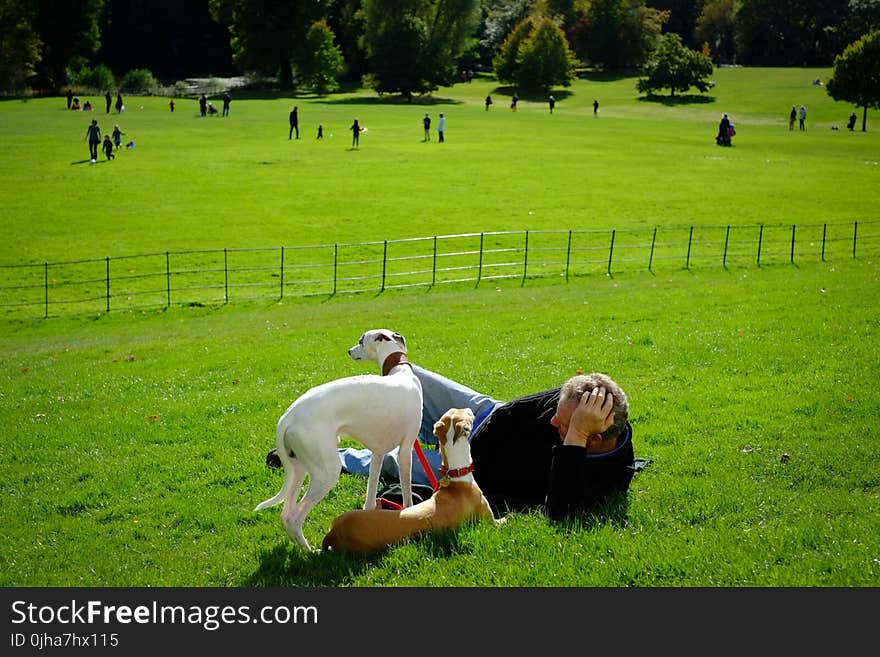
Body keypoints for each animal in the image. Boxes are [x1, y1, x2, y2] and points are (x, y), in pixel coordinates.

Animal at [254, 328, 422, 548]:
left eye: (361, 340)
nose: (349, 350)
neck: (400, 372)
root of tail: (288, 416)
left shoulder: (378, 453)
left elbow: (371, 494)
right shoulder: (406, 450)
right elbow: (407, 491)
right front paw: (409, 512)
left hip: (298, 468)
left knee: (286, 513)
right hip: (327, 472)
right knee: (294, 517)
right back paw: (312, 551)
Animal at [322, 408, 502, 552]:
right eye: (466, 413)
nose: (471, 409)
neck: (457, 477)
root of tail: (332, 534)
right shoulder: (489, 519)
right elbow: (500, 521)